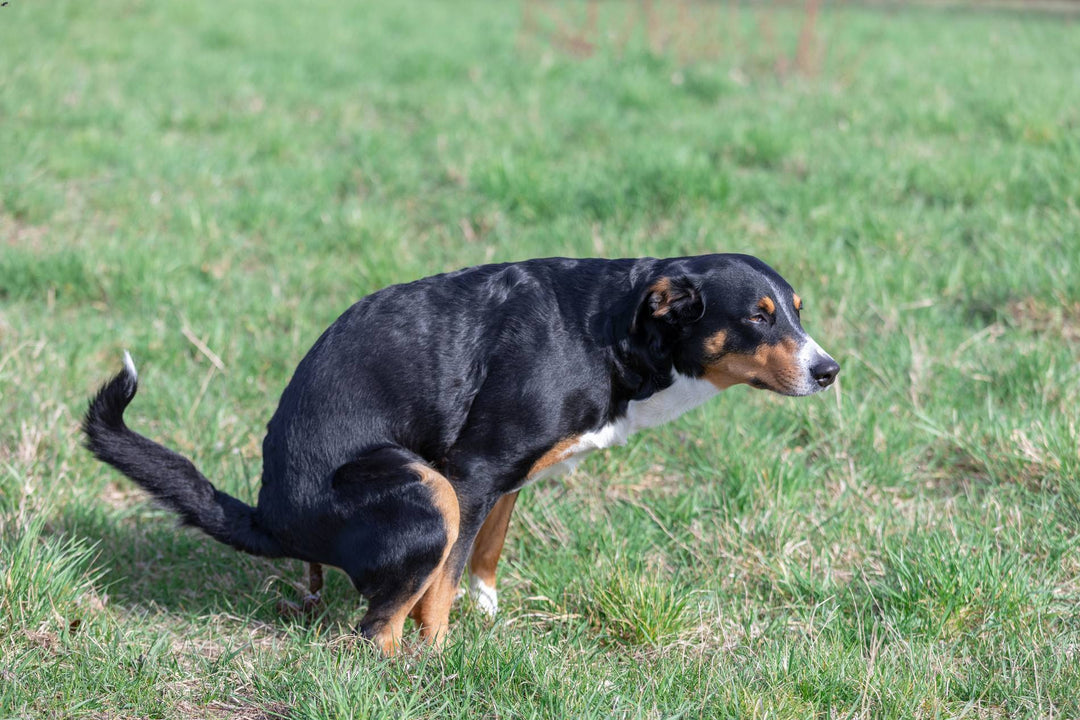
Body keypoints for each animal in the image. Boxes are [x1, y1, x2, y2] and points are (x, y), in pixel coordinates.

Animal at [84, 253, 842, 651]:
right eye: (757, 318)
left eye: (797, 310)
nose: (829, 370)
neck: (607, 332)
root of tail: (270, 516)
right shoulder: (471, 473)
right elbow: (440, 588)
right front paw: (444, 655)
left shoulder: (505, 481)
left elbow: (484, 557)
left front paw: (488, 615)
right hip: (427, 493)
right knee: (375, 628)